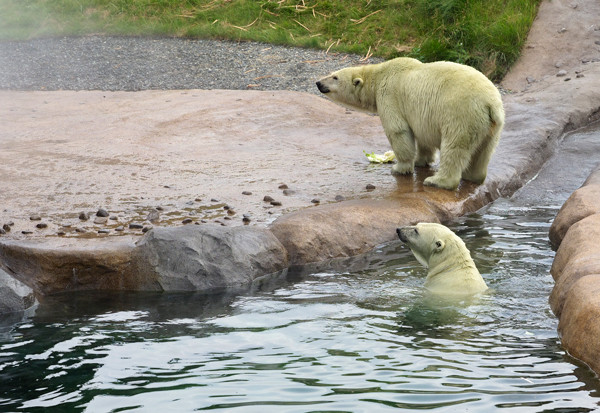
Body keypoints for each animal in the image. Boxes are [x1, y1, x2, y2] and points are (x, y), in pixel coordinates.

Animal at [316, 57, 504, 189]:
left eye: (335, 77)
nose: (318, 82)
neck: (379, 74)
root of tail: (490, 103)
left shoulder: (390, 95)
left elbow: (398, 131)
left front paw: (399, 168)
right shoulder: (421, 116)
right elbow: (423, 137)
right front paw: (422, 160)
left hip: (461, 114)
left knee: (455, 147)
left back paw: (437, 181)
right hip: (491, 126)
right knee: (484, 150)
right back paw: (473, 176)